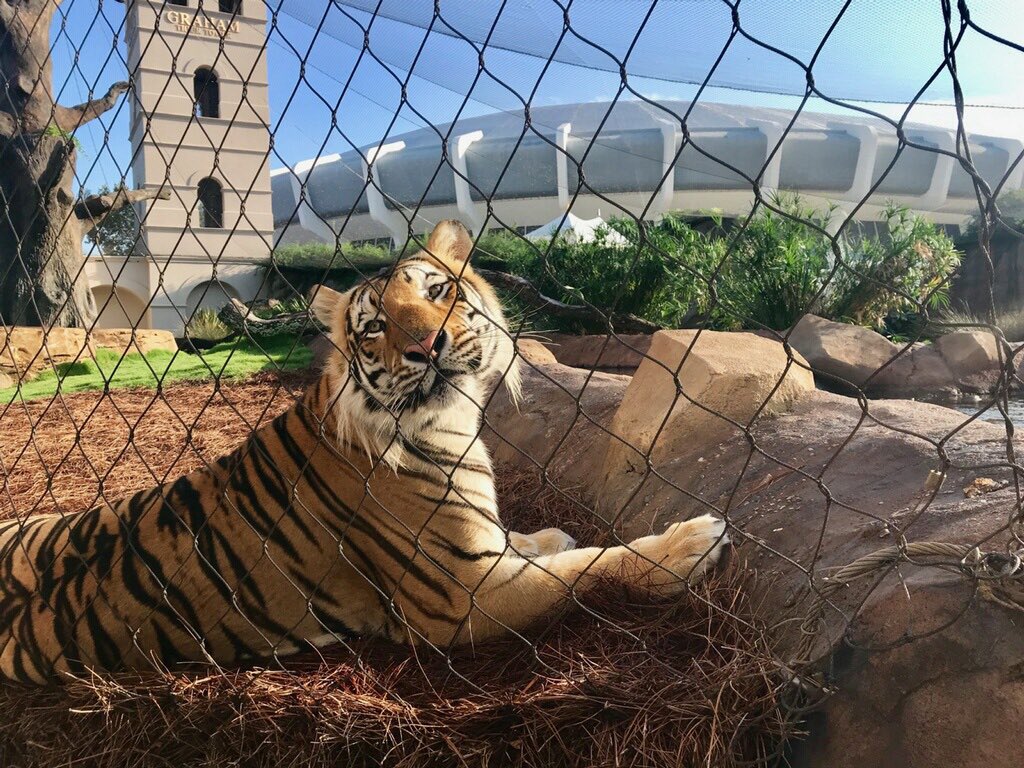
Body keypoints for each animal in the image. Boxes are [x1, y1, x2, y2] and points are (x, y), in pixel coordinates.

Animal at [0, 220, 729, 685]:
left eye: (438, 291)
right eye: (376, 325)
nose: (428, 344)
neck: (454, 421)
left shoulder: (476, 552)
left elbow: (531, 543)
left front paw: (546, 534)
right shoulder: (460, 595)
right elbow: (586, 568)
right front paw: (687, 545)